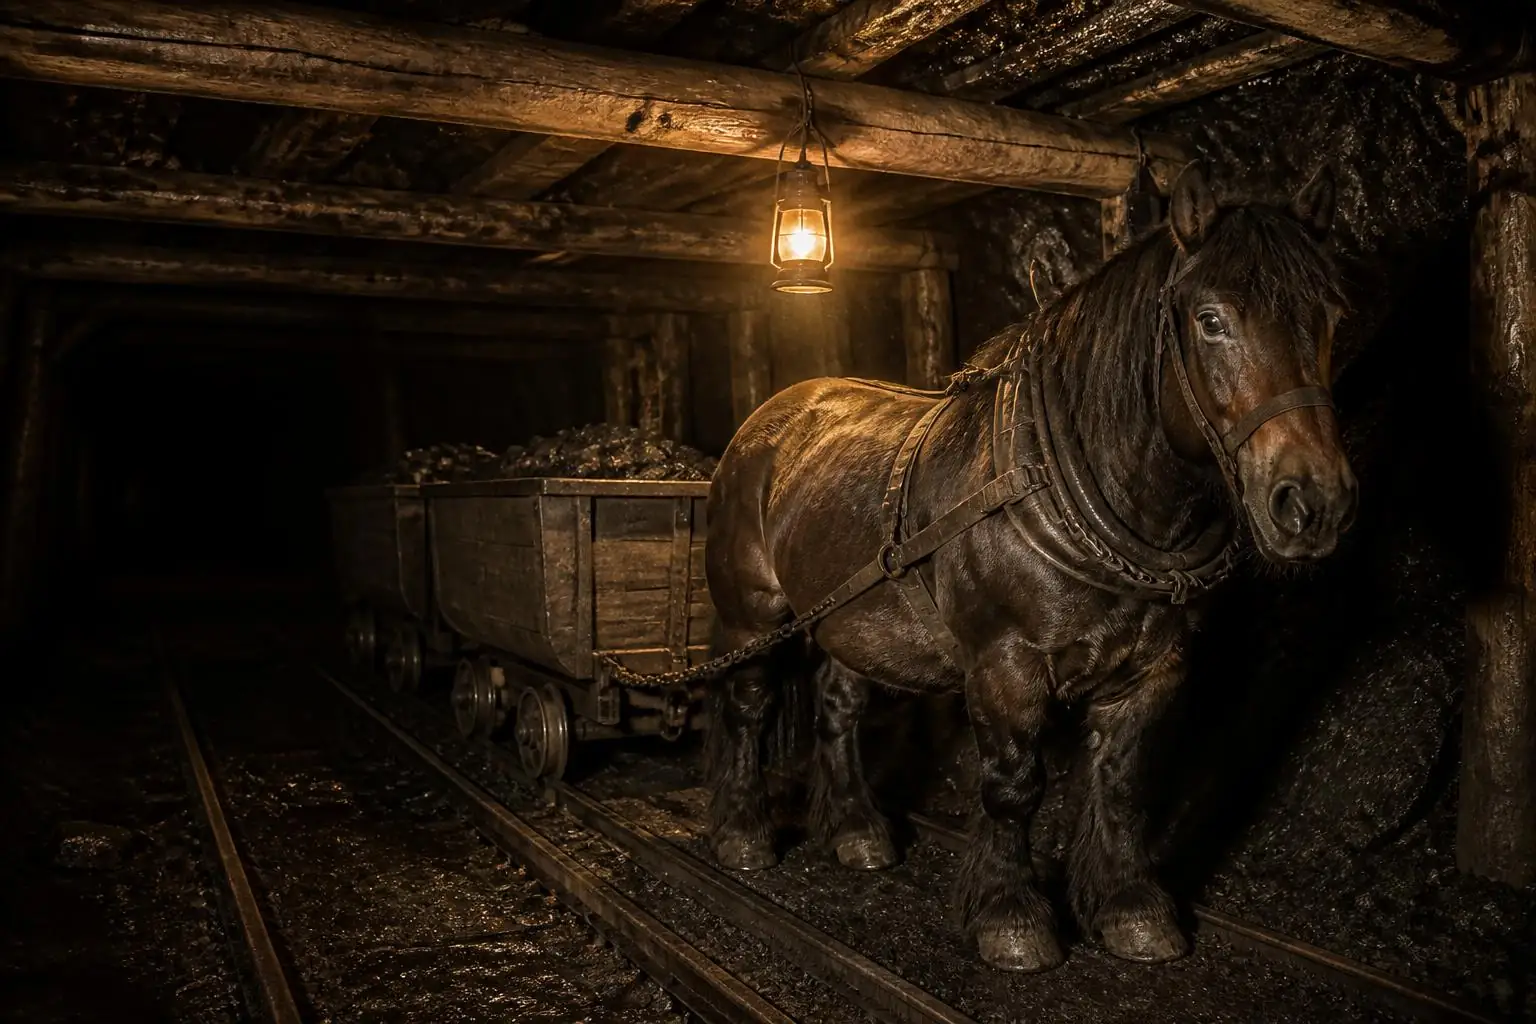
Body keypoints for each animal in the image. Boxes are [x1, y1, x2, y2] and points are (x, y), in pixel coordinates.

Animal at [702, 162, 1357, 972]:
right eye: (1211, 319)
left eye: (1333, 318)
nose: (1313, 501)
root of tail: (771, 417)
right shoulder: (1004, 663)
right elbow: (1014, 786)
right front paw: (1010, 918)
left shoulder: (1155, 669)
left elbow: (1123, 783)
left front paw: (1132, 910)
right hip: (749, 614)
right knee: (748, 706)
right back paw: (742, 834)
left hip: (852, 616)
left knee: (838, 705)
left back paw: (857, 832)